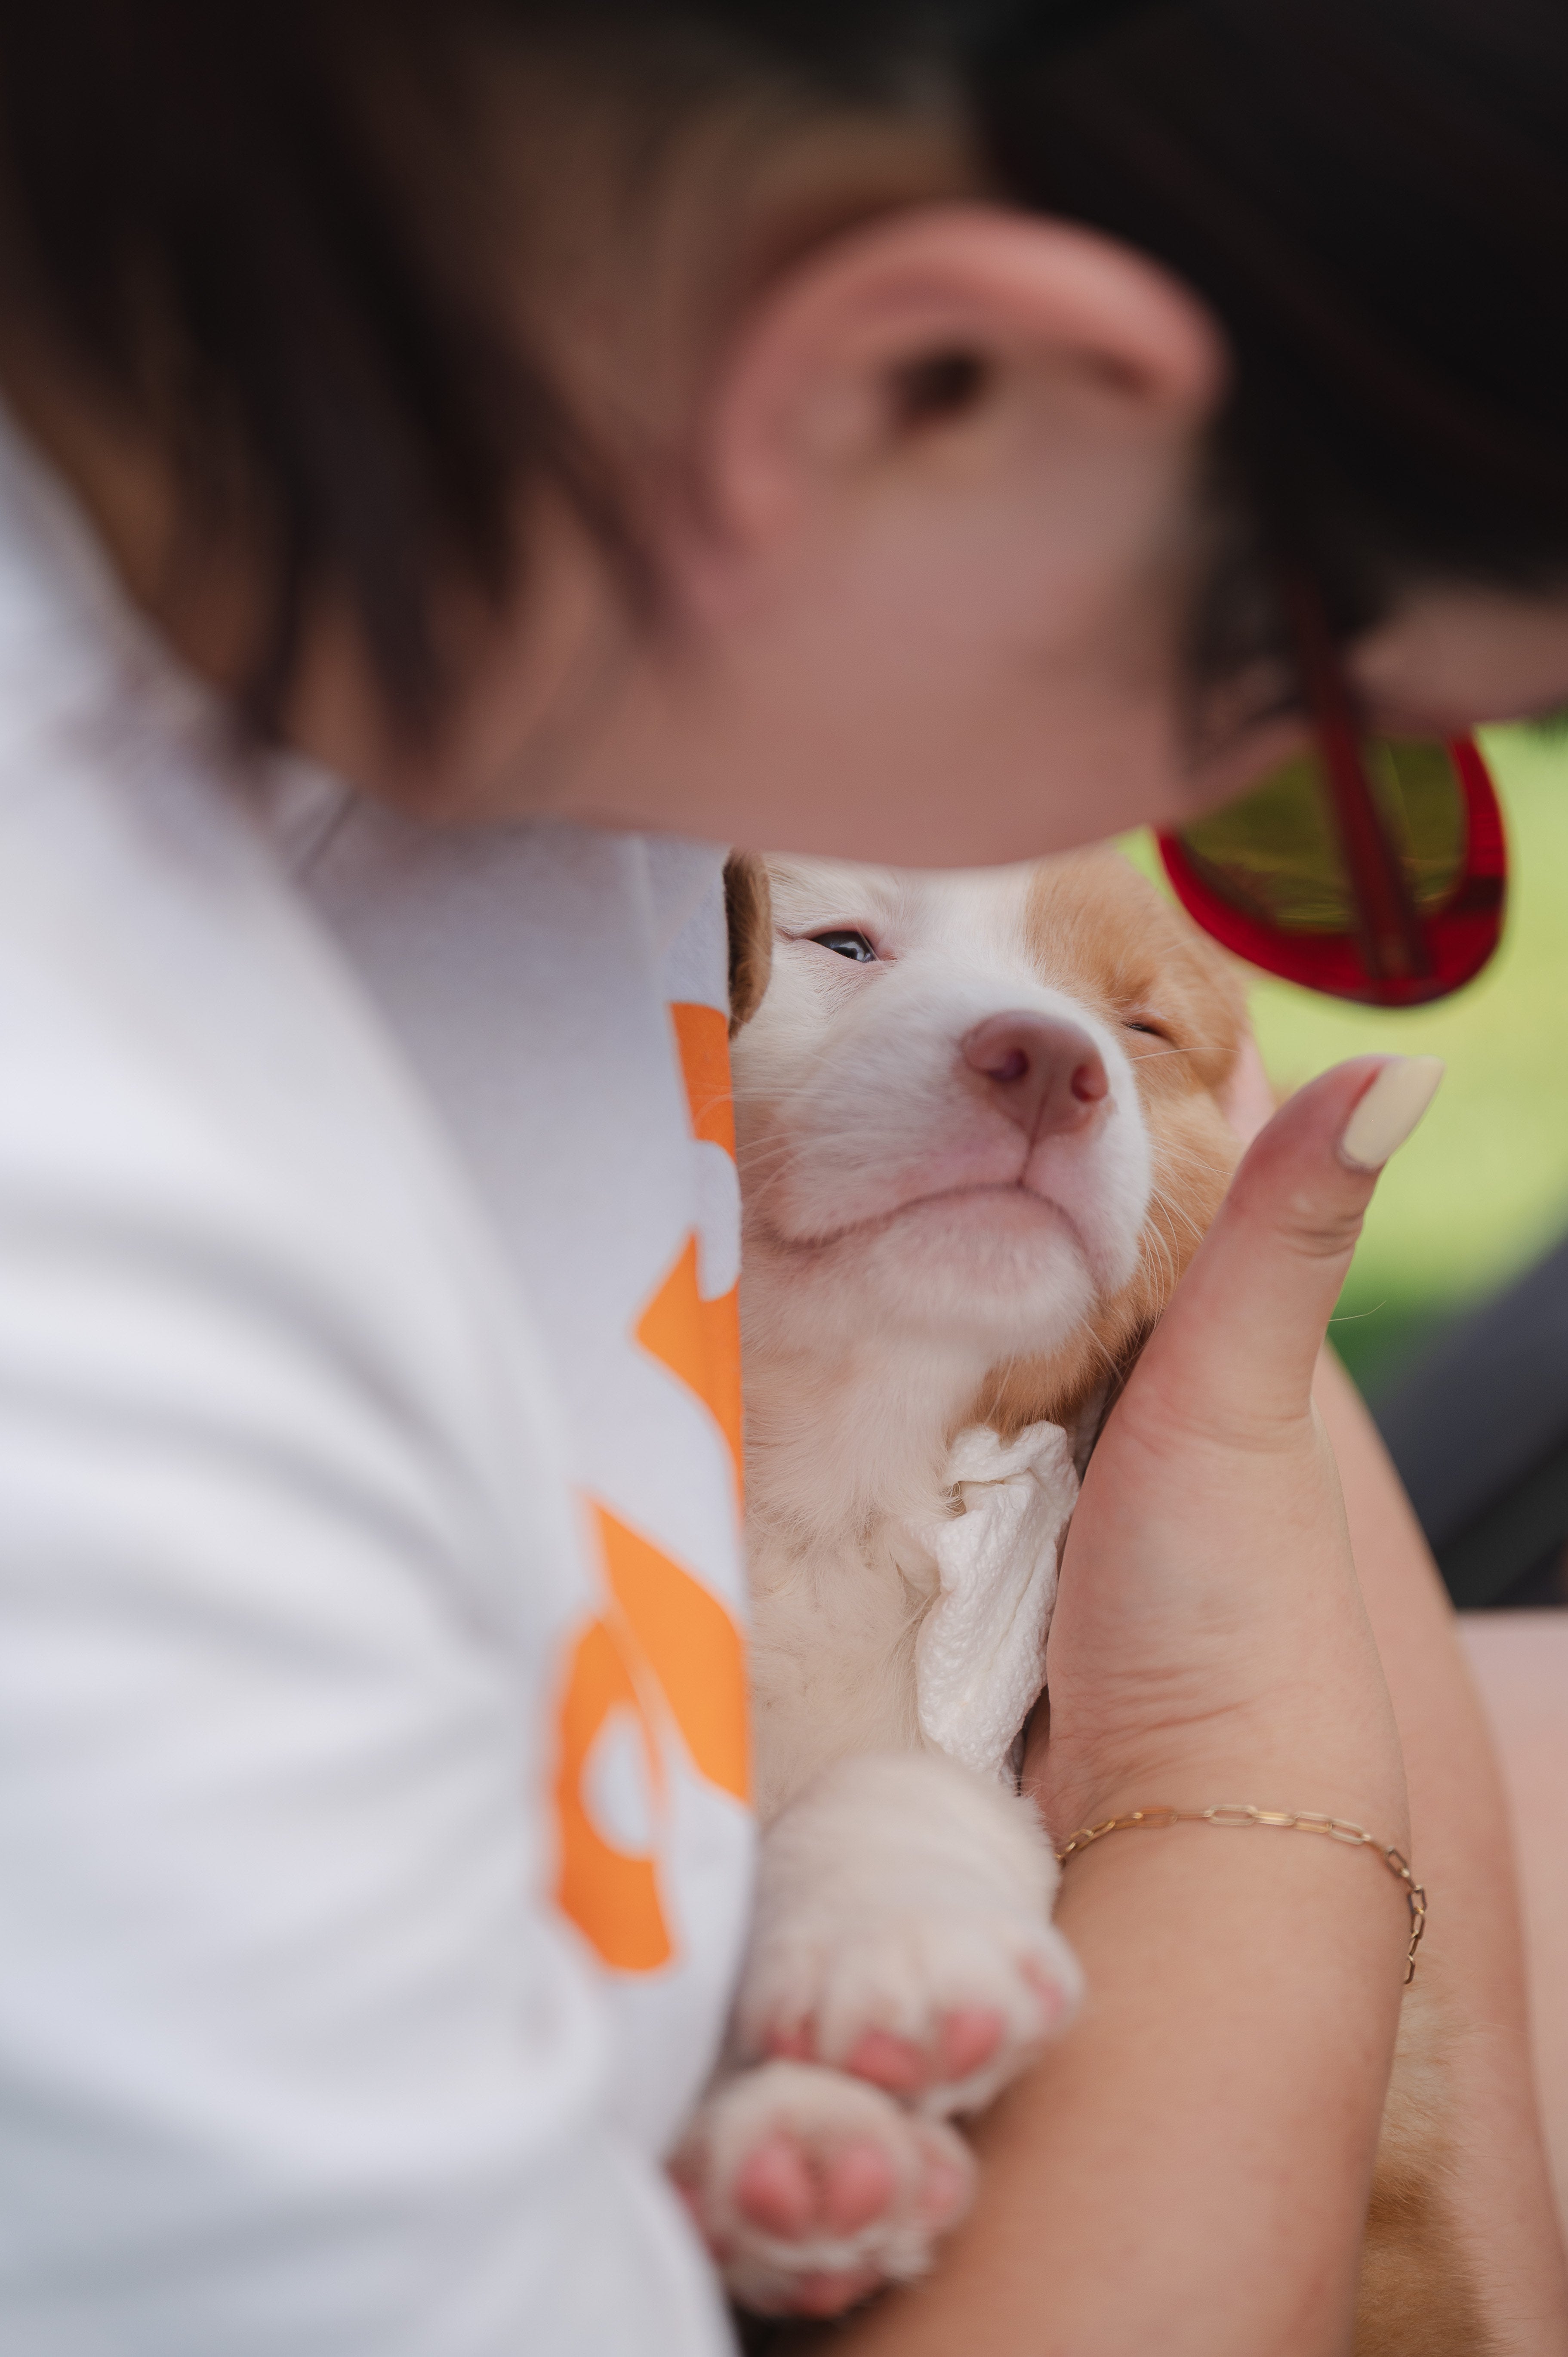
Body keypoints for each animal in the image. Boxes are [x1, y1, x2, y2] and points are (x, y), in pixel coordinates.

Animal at [672, 847, 1482, 2353]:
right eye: (842, 941)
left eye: (1142, 1024)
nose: (1050, 1061)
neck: (828, 1489)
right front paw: (801, 2148)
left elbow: (906, 1786)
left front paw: (899, 1957)